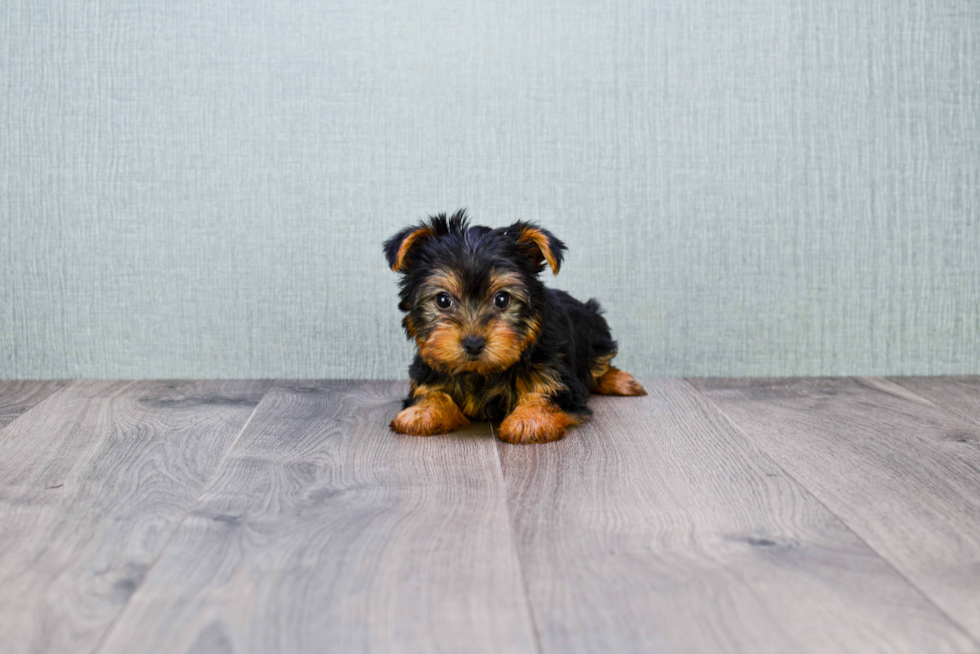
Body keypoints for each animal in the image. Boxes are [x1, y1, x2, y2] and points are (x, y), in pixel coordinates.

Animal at [380, 210, 644, 446]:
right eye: (443, 300)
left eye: (502, 299)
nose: (473, 343)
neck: (481, 373)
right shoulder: (427, 371)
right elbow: (430, 391)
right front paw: (423, 411)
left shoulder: (559, 376)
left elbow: (546, 394)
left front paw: (529, 420)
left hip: (595, 329)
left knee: (600, 363)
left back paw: (622, 382)